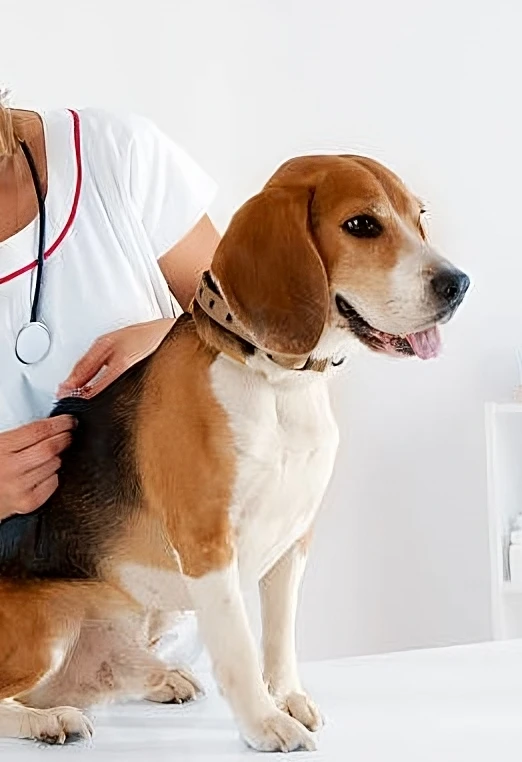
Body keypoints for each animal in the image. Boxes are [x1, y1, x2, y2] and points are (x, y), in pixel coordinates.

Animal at [0, 153, 468, 748]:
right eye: (362, 225)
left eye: (418, 215)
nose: (459, 284)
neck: (277, 383)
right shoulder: (207, 543)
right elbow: (240, 647)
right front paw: (265, 722)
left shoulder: (295, 538)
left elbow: (279, 636)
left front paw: (287, 697)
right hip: (50, 625)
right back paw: (48, 720)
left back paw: (158, 679)